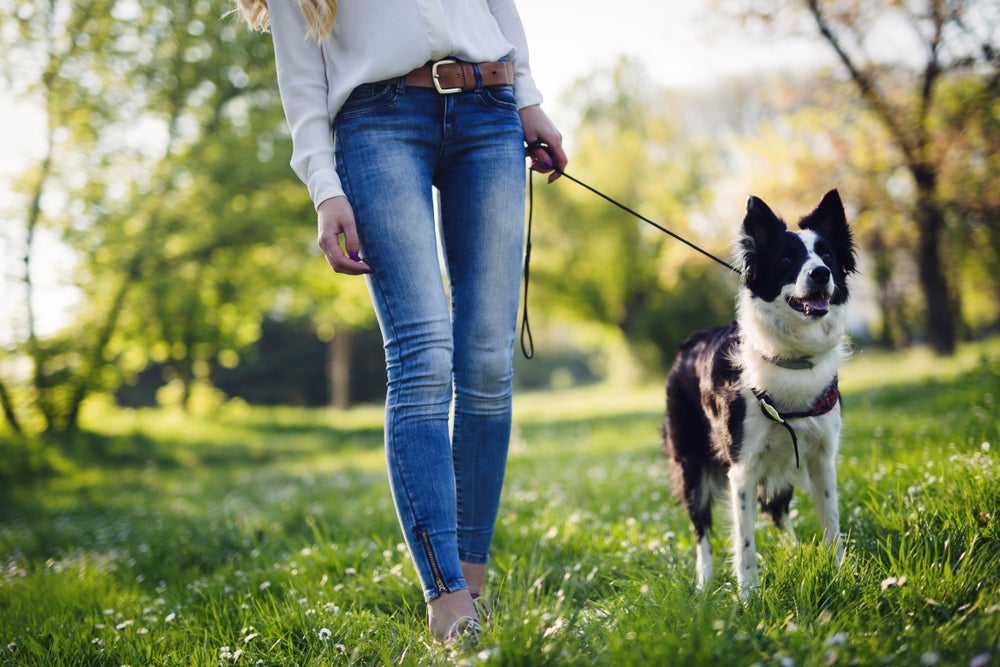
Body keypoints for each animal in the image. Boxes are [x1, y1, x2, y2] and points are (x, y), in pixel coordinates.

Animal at [664, 188, 860, 600]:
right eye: (786, 259)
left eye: (828, 256)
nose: (821, 273)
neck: (793, 356)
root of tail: (686, 345)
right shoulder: (743, 467)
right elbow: (745, 540)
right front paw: (749, 596)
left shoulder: (821, 458)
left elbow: (832, 524)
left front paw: (841, 575)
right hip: (691, 465)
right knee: (701, 530)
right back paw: (704, 584)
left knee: (779, 512)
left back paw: (795, 553)